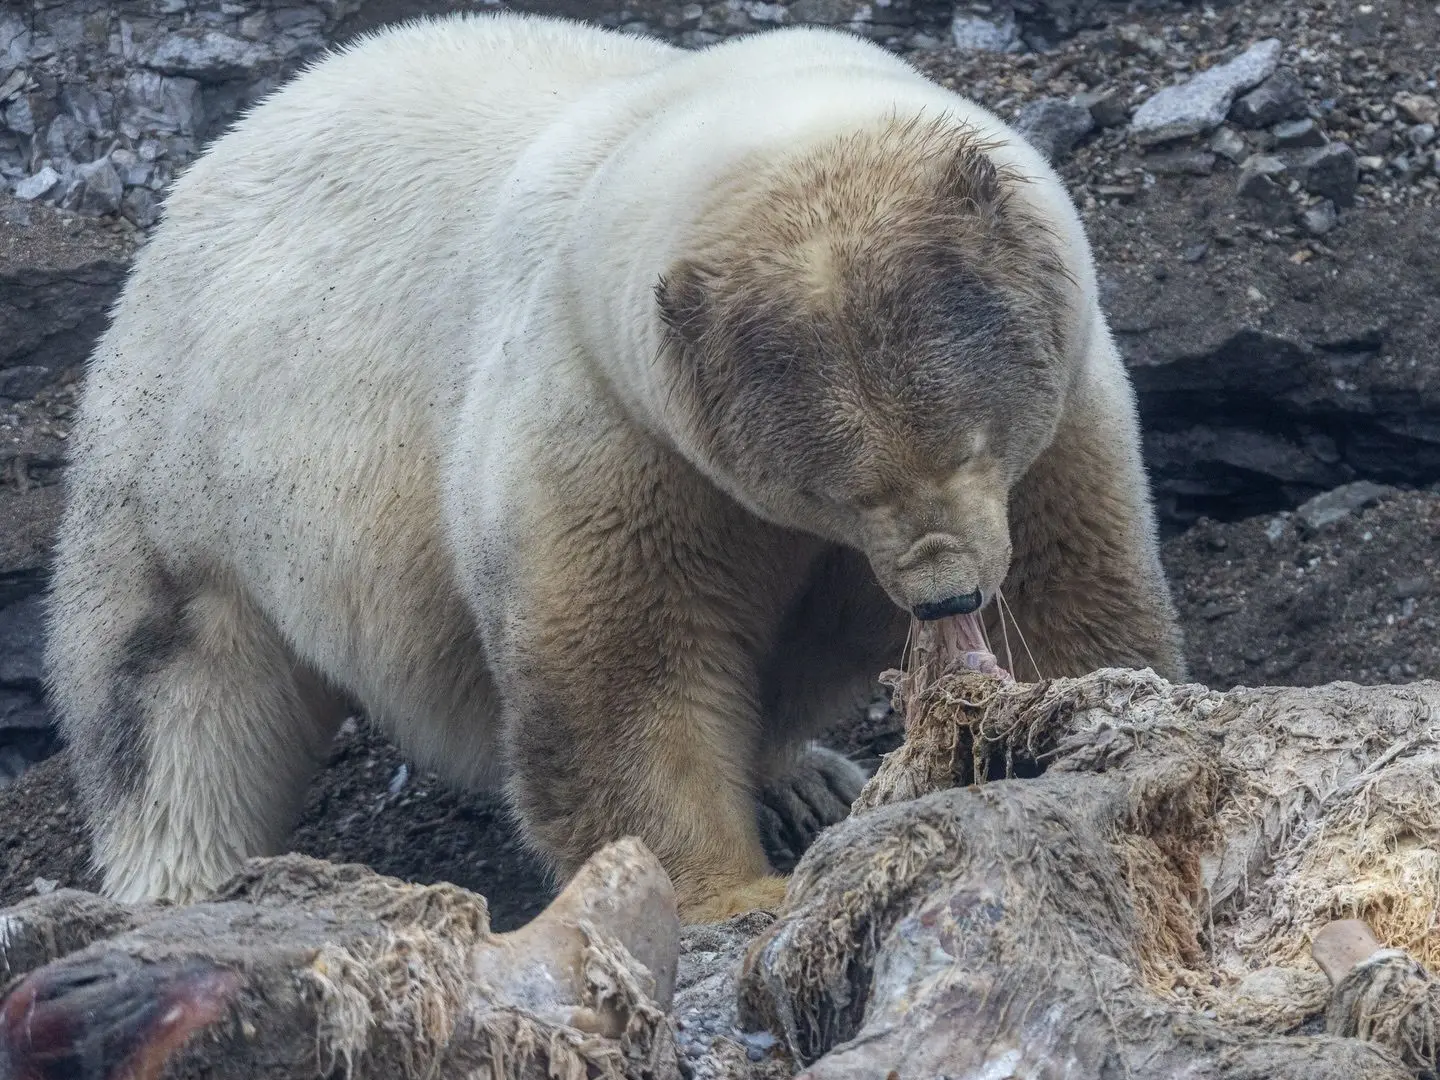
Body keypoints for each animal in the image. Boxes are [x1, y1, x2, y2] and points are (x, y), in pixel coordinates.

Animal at [43, 10, 1186, 922]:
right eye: (843, 490)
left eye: (973, 442)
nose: (948, 595)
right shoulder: (608, 428)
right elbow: (627, 675)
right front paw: (731, 892)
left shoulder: (1067, 408)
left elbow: (1072, 598)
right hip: (183, 460)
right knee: (173, 692)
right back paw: (183, 884)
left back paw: (802, 776)